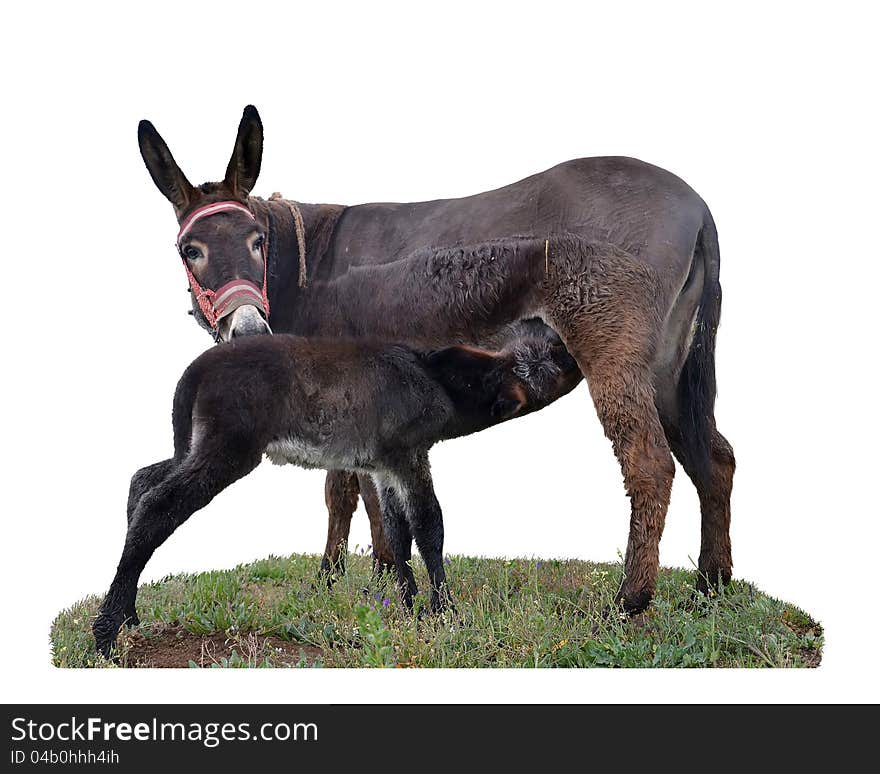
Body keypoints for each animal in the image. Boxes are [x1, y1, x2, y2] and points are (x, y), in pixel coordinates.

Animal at [94, 330, 576, 656]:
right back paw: (105, 633)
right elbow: (429, 527)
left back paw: (129, 614)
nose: (563, 340)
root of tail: (194, 373)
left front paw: (408, 605)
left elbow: (397, 533)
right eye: (552, 362)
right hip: (227, 450)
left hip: (193, 447)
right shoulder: (409, 455)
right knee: (157, 505)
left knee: (140, 482)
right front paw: (444, 611)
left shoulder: (384, 467)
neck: (441, 382)